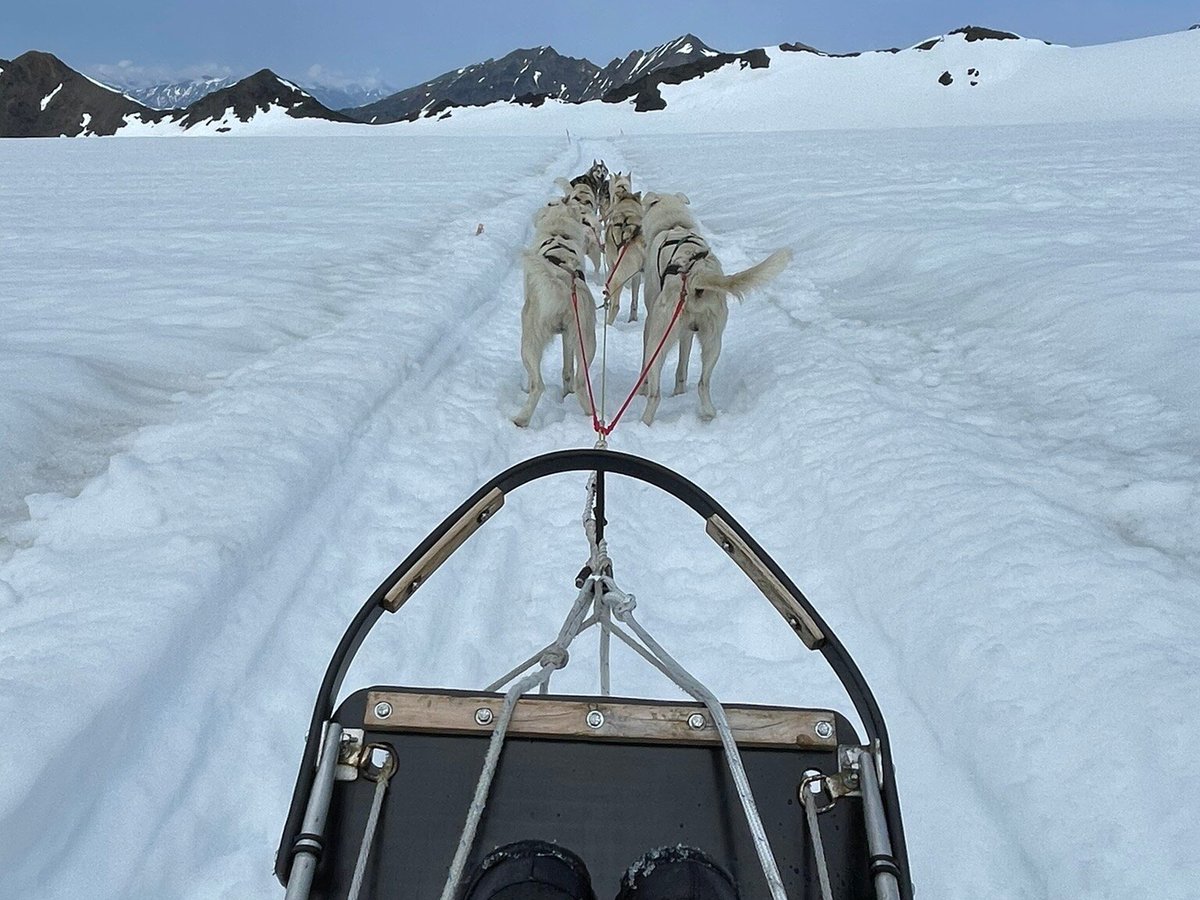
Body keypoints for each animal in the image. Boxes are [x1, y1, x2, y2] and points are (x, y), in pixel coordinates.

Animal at [513, 204, 597, 429]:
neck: (558, 233)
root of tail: (562, 283)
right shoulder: (568, 336)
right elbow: (567, 369)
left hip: (528, 341)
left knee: (537, 385)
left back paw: (521, 419)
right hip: (586, 341)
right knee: (579, 381)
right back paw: (589, 413)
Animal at [643, 232, 792, 429]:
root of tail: (694, 275)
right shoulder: (687, 333)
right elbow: (682, 366)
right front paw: (679, 392)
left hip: (657, 343)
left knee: (655, 395)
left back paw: (644, 421)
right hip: (713, 342)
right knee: (702, 384)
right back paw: (708, 412)